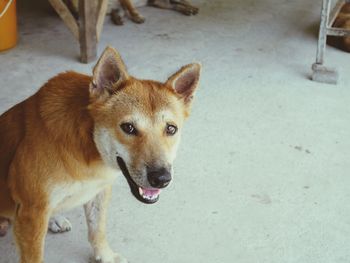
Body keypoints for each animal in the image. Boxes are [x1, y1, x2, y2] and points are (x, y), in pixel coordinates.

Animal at [0, 46, 201, 262]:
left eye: (171, 129)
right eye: (128, 128)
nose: (161, 178)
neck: (88, 150)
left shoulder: (99, 191)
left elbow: (97, 230)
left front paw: (105, 255)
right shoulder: (32, 212)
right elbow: (34, 256)